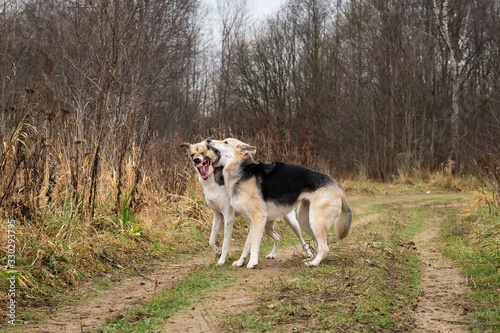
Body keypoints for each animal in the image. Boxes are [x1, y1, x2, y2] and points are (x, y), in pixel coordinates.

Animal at [207, 137, 352, 268]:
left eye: (225, 142)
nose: (208, 140)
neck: (242, 172)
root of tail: (338, 187)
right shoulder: (254, 222)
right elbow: (247, 244)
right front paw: (240, 262)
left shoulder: (258, 218)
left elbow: (253, 243)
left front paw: (252, 263)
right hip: (305, 221)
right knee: (318, 242)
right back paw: (311, 259)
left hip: (314, 221)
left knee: (324, 247)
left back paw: (313, 263)